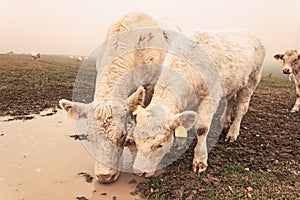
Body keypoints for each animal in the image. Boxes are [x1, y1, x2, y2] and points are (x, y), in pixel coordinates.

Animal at [129, 29, 264, 177]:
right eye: (136, 140)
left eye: (160, 144)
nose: (138, 172)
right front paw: (181, 141)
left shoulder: (210, 97)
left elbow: (202, 129)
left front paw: (200, 160)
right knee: (230, 102)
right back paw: (225, 122)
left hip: (252, 80)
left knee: (241, 108)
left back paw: (232, 132)